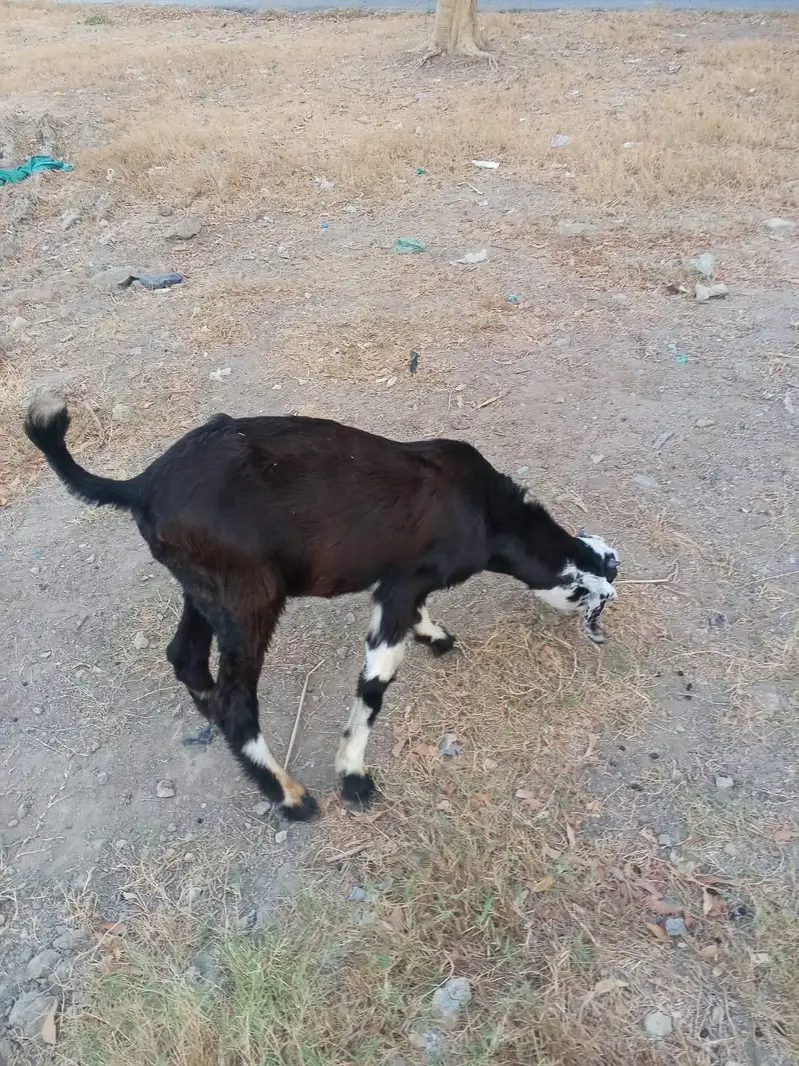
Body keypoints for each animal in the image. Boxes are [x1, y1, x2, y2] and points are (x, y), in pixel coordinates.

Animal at [24, 396, 620, 821]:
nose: (599, 636)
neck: (489, 512)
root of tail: (142, 485)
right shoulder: (402, 583)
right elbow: (376, 681)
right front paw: (353, 777)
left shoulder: (400, 586)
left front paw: (436, 636)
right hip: (250, 597)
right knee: (235, 700)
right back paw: (289, 796)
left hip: (205, 588)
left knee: (187, 658)